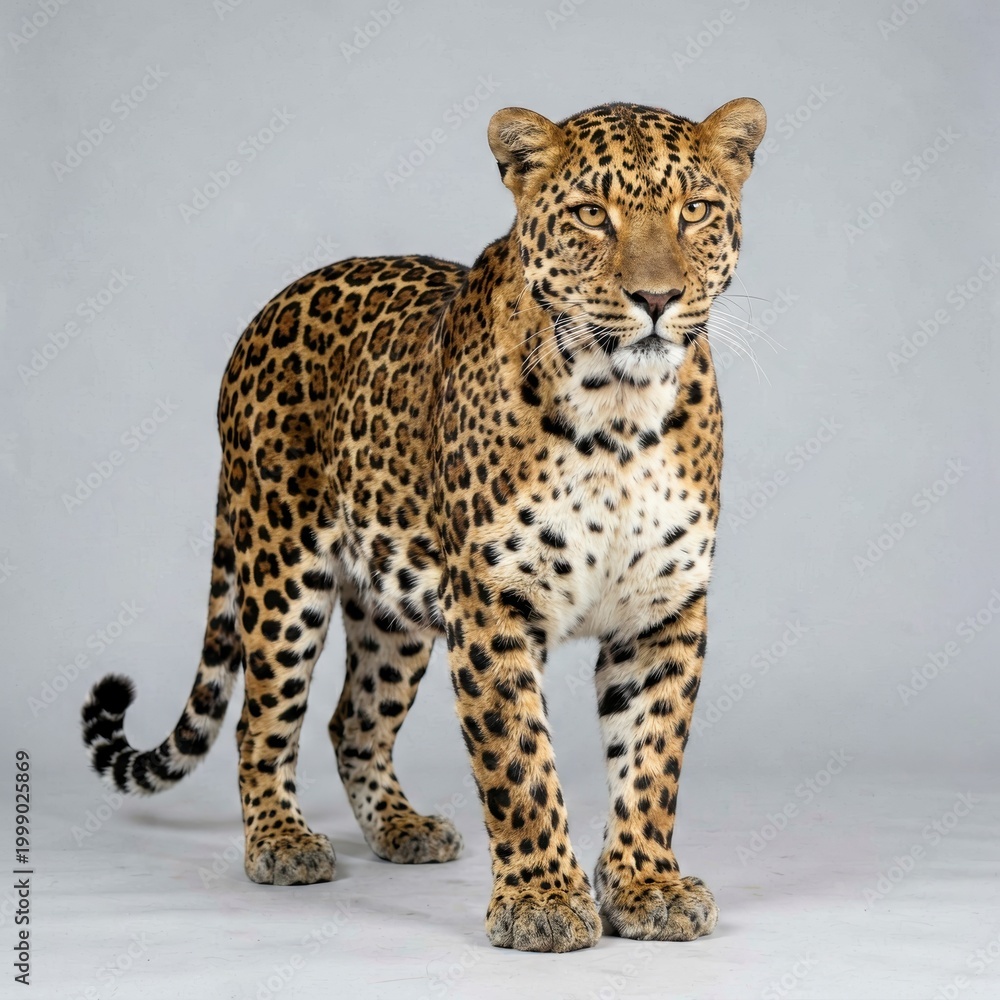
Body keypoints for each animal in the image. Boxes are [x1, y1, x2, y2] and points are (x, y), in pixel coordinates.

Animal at [81, 96, 766, 953]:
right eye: (591, 215)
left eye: (695, 211)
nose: (656, 299)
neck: (620, 411)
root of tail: (268, 311)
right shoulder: (493, 603)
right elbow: (517, 759)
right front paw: (544, 901)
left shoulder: (665, 609)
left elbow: (651, 757)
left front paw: (647, 886)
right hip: (282, 570)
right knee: (261, 719)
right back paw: (280, 841)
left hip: (394, 607)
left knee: (352, 720)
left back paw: (401, 829)